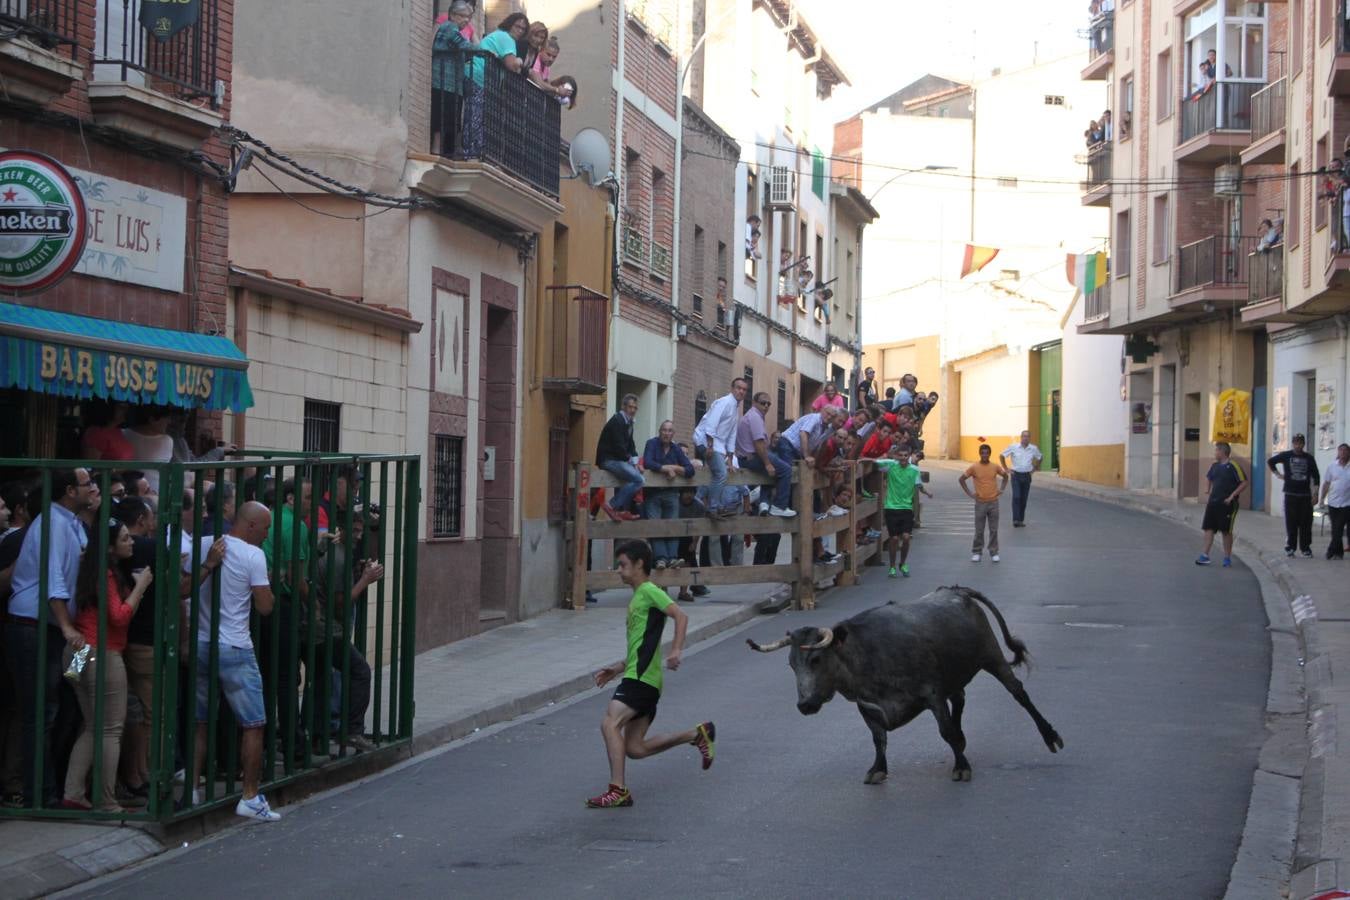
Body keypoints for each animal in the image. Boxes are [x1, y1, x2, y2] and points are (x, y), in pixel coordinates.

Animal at [745, 585, 1058, 782]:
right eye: (791, 664)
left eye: (816, 659)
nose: (805, 705)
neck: (867, 654)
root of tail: (956, 590)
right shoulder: (867, 706)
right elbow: (878, 739)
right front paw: (877, 769)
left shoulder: (932, 694)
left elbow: (945, 731)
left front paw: (961, 766)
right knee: (960, 698)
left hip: (992, 656)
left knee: (1018, 692)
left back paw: (1050, 735)